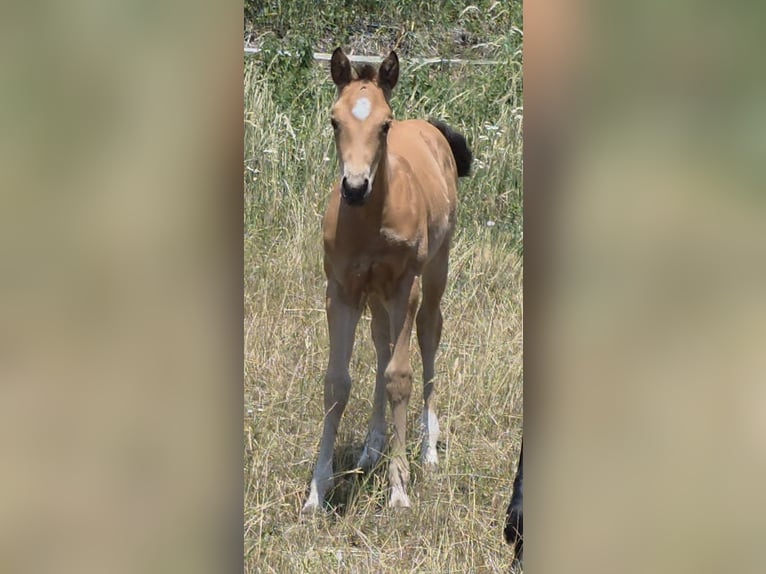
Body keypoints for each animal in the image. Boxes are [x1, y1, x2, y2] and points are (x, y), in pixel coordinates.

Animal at [301, 47, 472, 512]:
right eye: (334, 120)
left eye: (385, 124)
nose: (355, 187)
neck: (371, 220)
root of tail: (430, 128)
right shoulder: (341, 291)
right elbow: (336, 382)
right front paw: (317, 491)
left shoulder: (403, 287)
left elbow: (400, 377)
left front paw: (398, 489)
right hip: (374, 294)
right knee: (380, 343)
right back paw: (371, 447)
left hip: (434, 268)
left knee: (429, 330)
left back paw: (428, 447)